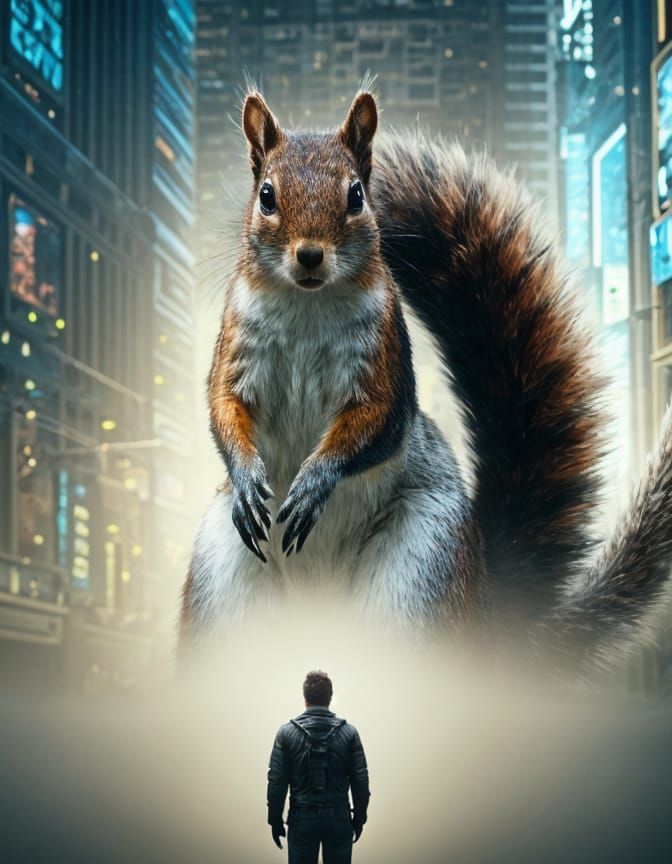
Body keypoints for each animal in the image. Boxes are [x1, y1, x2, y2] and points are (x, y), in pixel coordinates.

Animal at [180, 88, 672, 674]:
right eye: (267, 196)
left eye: (356, 195)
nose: (310, 255)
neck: (306, 304)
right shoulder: (237, 346)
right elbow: (222, 405)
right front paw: (247, 478)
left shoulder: (386, 359)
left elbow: (378, 422)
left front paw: (314, 482)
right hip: (222, 578)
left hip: (420, 567)